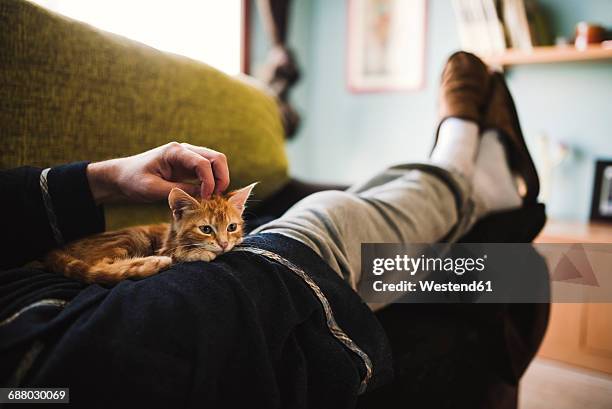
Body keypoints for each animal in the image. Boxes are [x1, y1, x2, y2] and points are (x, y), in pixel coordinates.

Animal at [44, 182, 256, 284]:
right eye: (206, 229)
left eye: (232, 227)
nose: (223, 244)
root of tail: (56, 250)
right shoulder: (166, 248)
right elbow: (178, 252)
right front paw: (198, 252)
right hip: (130, 238)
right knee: (100, 266)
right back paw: (153, 262)